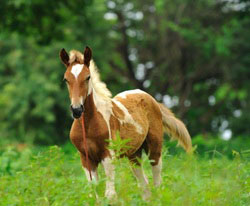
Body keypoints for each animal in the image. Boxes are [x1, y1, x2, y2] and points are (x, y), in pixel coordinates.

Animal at [59, 45, 191, 200]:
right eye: (66, 79)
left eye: (88, 77)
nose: (77, 110)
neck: (89, 125)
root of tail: (150, 98)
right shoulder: (86, 159)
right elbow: (95, 194)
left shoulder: (108, 155)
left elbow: (110, 194)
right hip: (134, 154)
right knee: (144, 185)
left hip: (154, 148)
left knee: (157, 182)